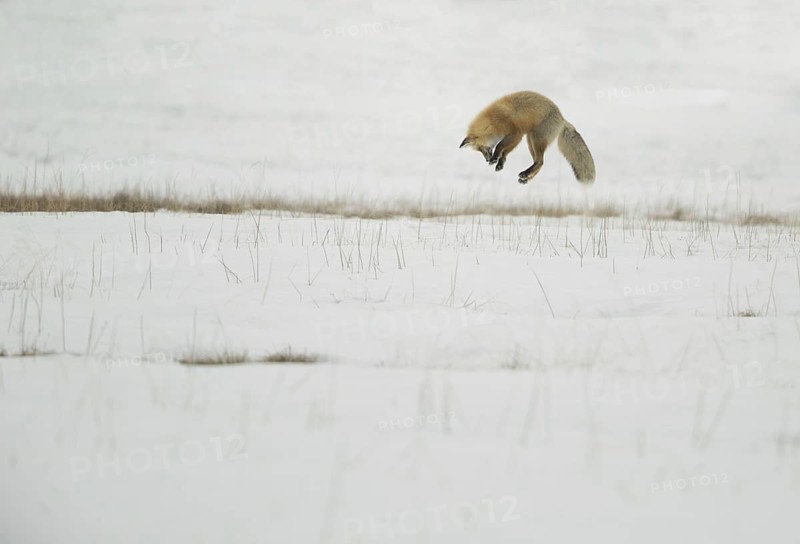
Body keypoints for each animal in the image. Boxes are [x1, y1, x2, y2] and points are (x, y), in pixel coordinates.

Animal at [459, 91, 595, 184]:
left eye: (481, 148)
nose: (487, 160)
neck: (492, 121)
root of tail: (561, 118)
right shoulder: (517, 138)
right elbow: (505, 152)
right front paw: (500, 163)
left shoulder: (515, 134)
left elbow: (499, 146)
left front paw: (495, 159)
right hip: (530, 141)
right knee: (539, 162)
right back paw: (526, 178)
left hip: (536, 139)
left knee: (540, 161)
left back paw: (525, 173)